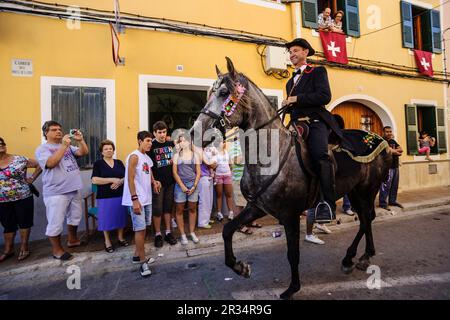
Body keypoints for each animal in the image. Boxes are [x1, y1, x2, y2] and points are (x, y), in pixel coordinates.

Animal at [188, 57, 392, 300]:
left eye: (224, 92)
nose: (194, 132)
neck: (272, 154)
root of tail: (380, 140)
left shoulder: (289, 215)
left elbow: (292, 253)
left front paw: (292, 287)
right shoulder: (257, 207)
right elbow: (228, 230)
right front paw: (240, 267)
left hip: (367, 190)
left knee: (367, 218)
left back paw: (358, 256)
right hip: (355, 191)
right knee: (365, 219)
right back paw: (356, 257)